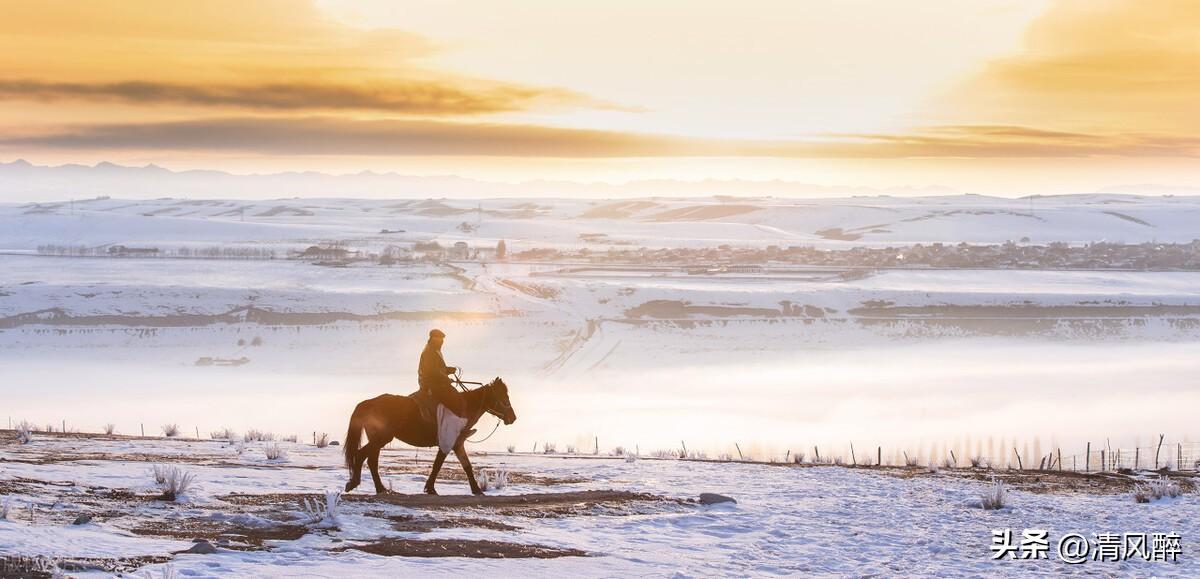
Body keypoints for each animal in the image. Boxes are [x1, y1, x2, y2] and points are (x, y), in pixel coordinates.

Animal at [345, 377, 518, 494]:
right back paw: (354, 483)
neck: (464, 408)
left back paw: (380, 488)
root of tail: (369, 403)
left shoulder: (457, 443)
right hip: (381, 438)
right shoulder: (448, 441)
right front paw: (431, 488)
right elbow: (438, 465)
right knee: (362, 455)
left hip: (378, 440)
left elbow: (466, 466)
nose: (513, 418)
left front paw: (476, 490)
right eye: (504, 396)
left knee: (371, 461)